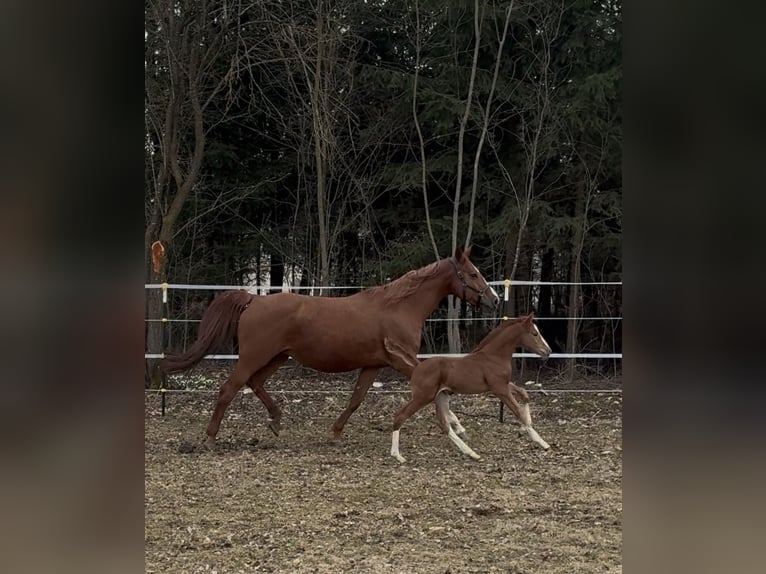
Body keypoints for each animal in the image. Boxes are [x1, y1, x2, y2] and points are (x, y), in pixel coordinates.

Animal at [161, 246, 499, 449]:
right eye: (473, 274)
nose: (494, 299)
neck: (399, 306)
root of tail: (254, 299)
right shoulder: (400, 359)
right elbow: (435, 390)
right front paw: (458, 427)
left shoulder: (374, 364)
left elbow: (356, 400)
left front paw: (335, 433)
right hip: (254, 356)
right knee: (229, 389)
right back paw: (210, 438)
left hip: (277, 357)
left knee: (255, 384)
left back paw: (276, 422)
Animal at [388, 313, 552, 462]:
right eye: (535, 333)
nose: (548, 351)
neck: (493, 356)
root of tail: (417, 367)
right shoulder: (499, 388)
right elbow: (518, 411)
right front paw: (541, 441)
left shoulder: (502, 385)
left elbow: (524, 394)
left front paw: (525, 428)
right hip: (423, 397)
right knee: (400, 415)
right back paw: (397, 455)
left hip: (441, 396)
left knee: (444, 424)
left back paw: (471, 453)